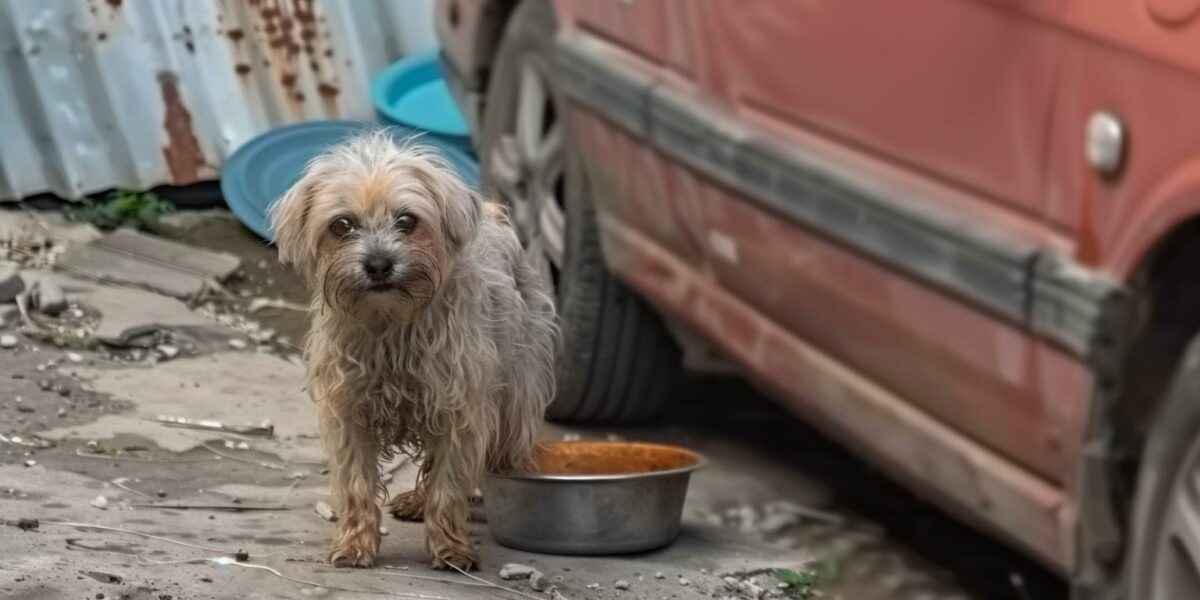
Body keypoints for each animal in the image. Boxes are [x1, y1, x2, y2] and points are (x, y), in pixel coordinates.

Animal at [270, 132, 554, 571]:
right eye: (342, 225)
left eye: (407, 221)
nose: (378, 263)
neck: (391, 323)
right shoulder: (349, 412)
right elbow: (356, 484)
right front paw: (355, 543)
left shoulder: (460, 413)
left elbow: (449, 484)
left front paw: (450, 547)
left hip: (515, 400)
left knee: (502, 452)